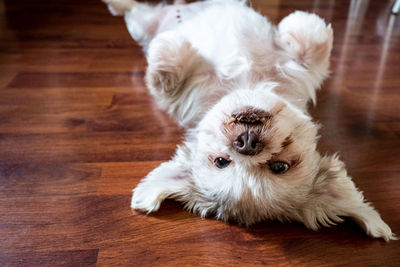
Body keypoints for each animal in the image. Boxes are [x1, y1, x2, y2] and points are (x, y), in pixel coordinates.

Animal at [104, 0, 396, 242]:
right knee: (130, 10)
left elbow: (314, 42)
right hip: (142, 24)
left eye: (279, 167)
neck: (247, 84)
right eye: (221, 162)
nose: (246, 142)